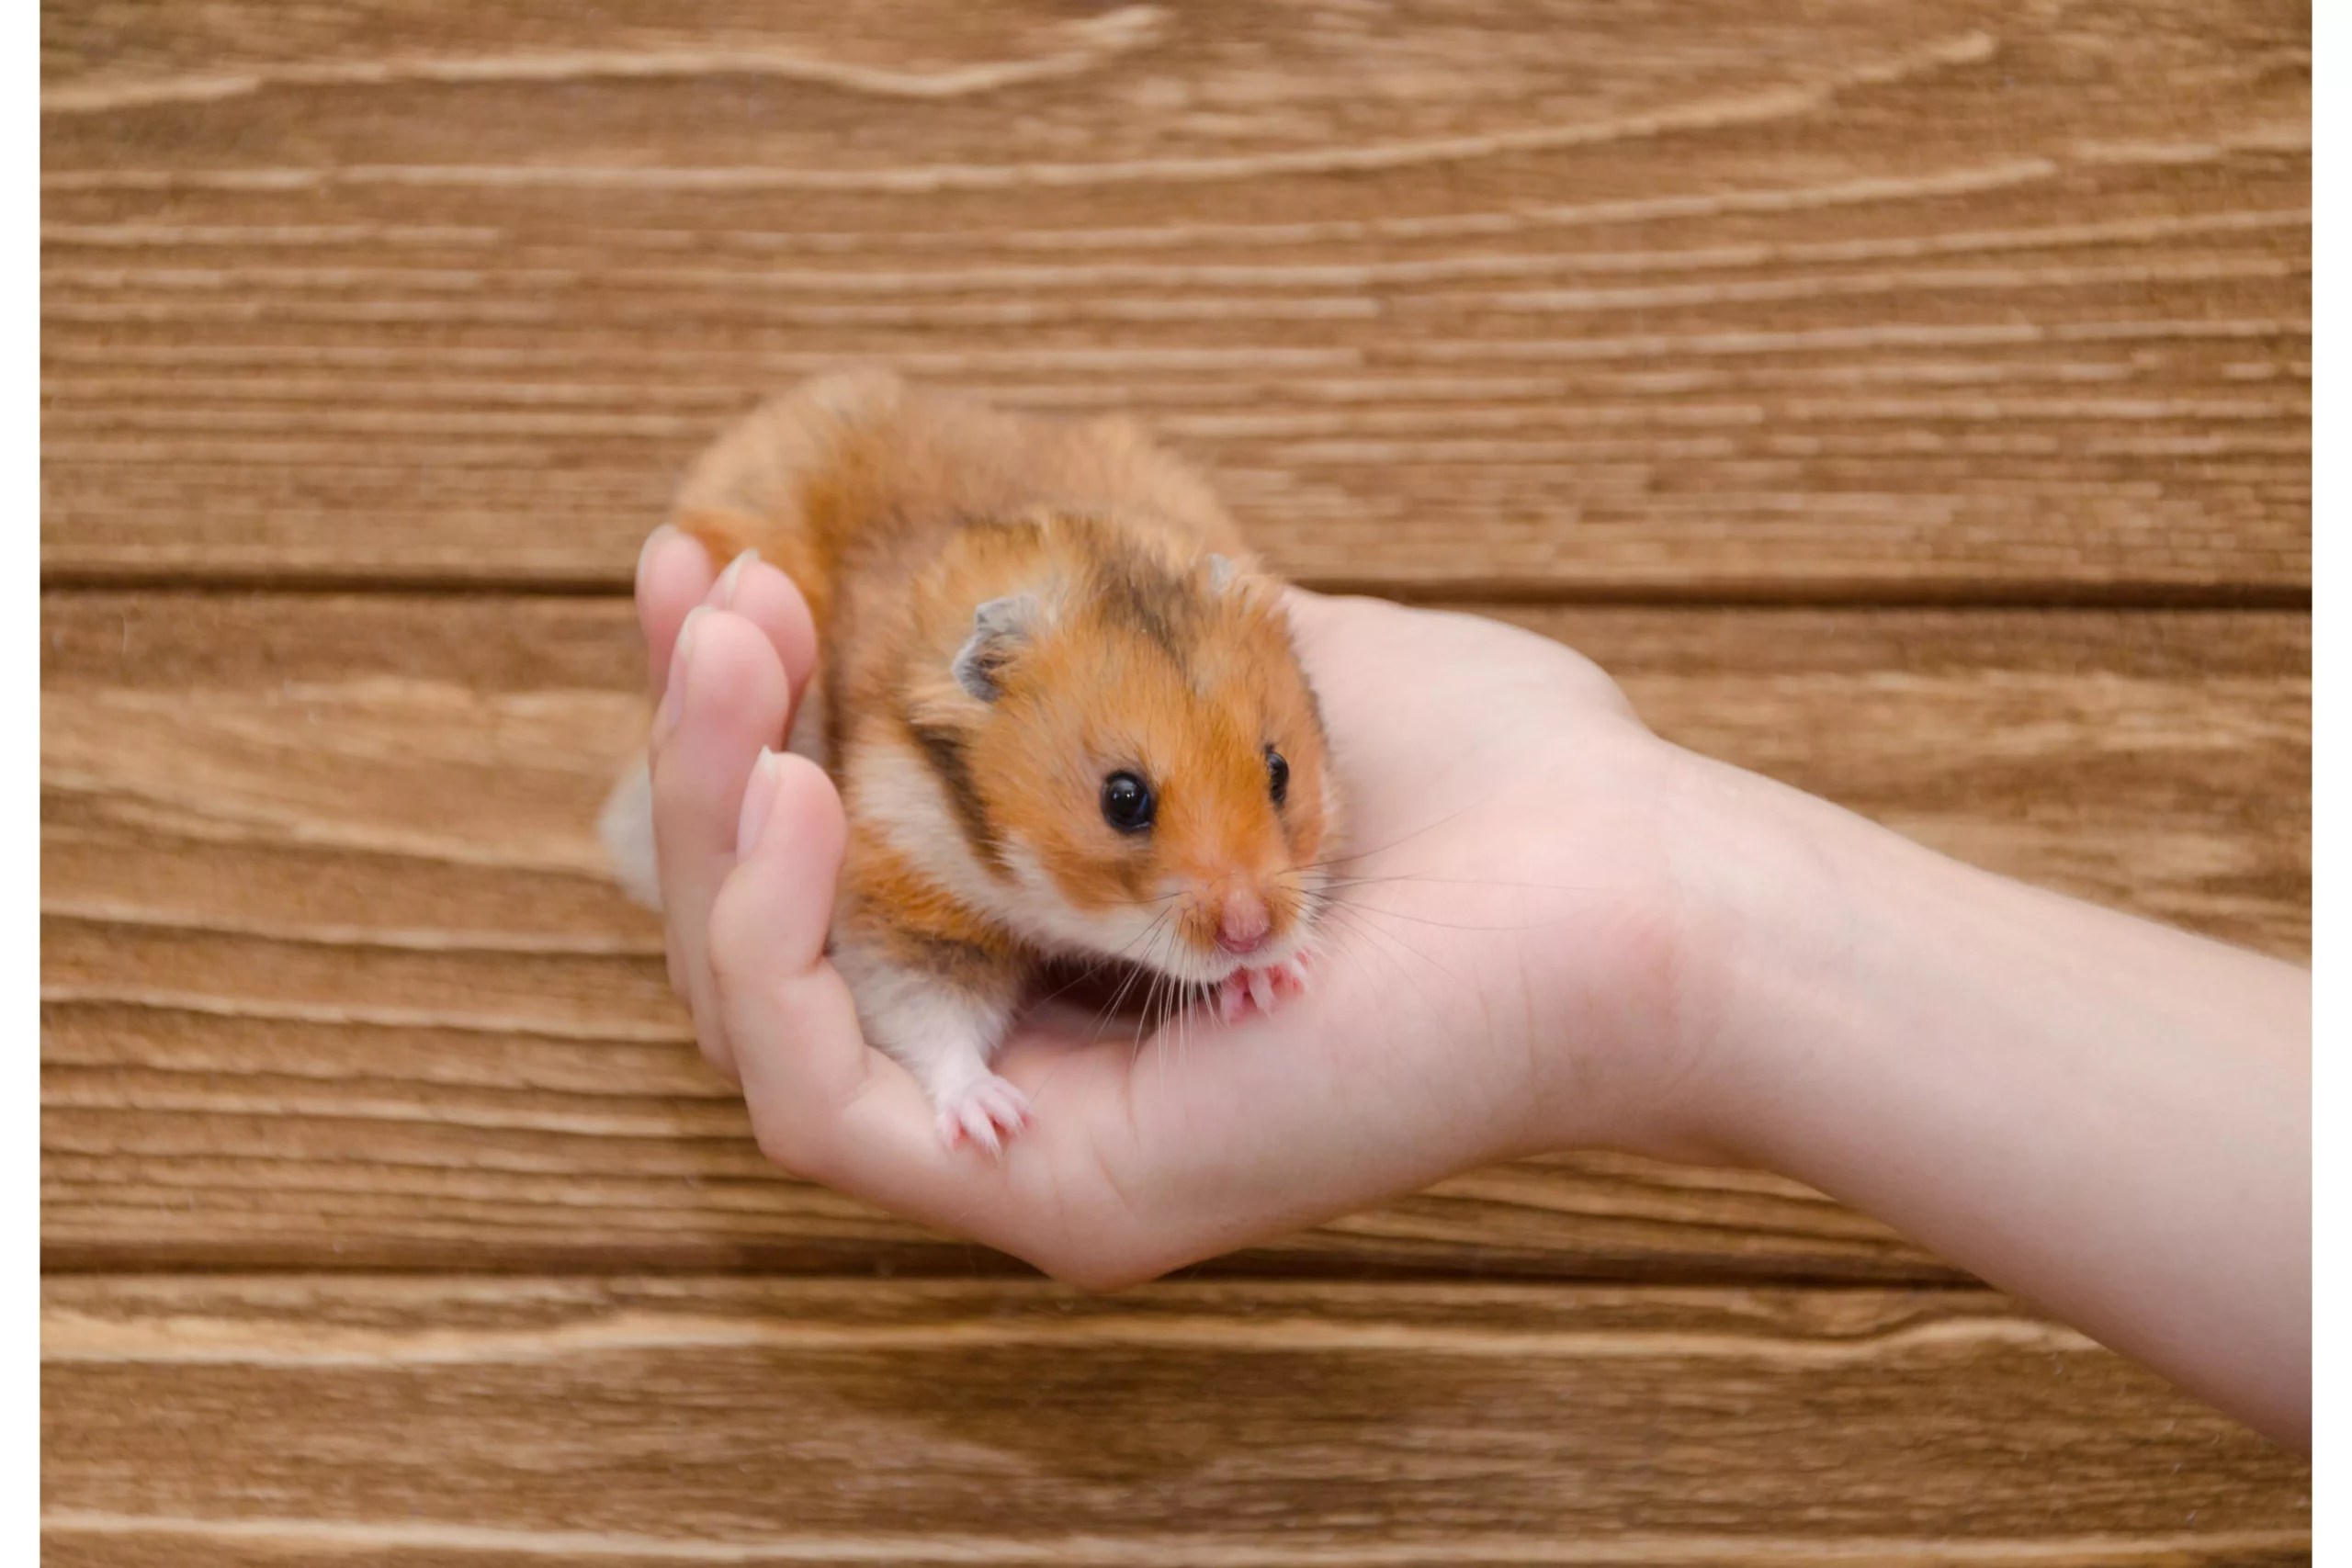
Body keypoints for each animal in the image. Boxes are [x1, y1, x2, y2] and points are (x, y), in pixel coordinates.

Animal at [600, 369, 1338, 1153]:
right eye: (1123, 798)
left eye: (1280, 771)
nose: (1252, 932)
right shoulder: (905, 886)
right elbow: (929, 1010)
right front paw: (993, 1121)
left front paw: (1278, 975)